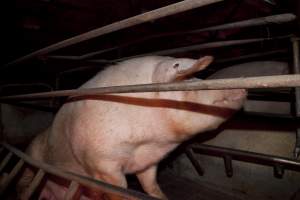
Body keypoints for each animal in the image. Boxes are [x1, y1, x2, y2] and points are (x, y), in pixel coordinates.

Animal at [17, 55, 246, 199]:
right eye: (190, 80)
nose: (243, 86)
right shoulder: (101, 163)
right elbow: (119, 190)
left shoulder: (148, 162)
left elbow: (150, 184)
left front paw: (162, 197)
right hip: (31, 159)